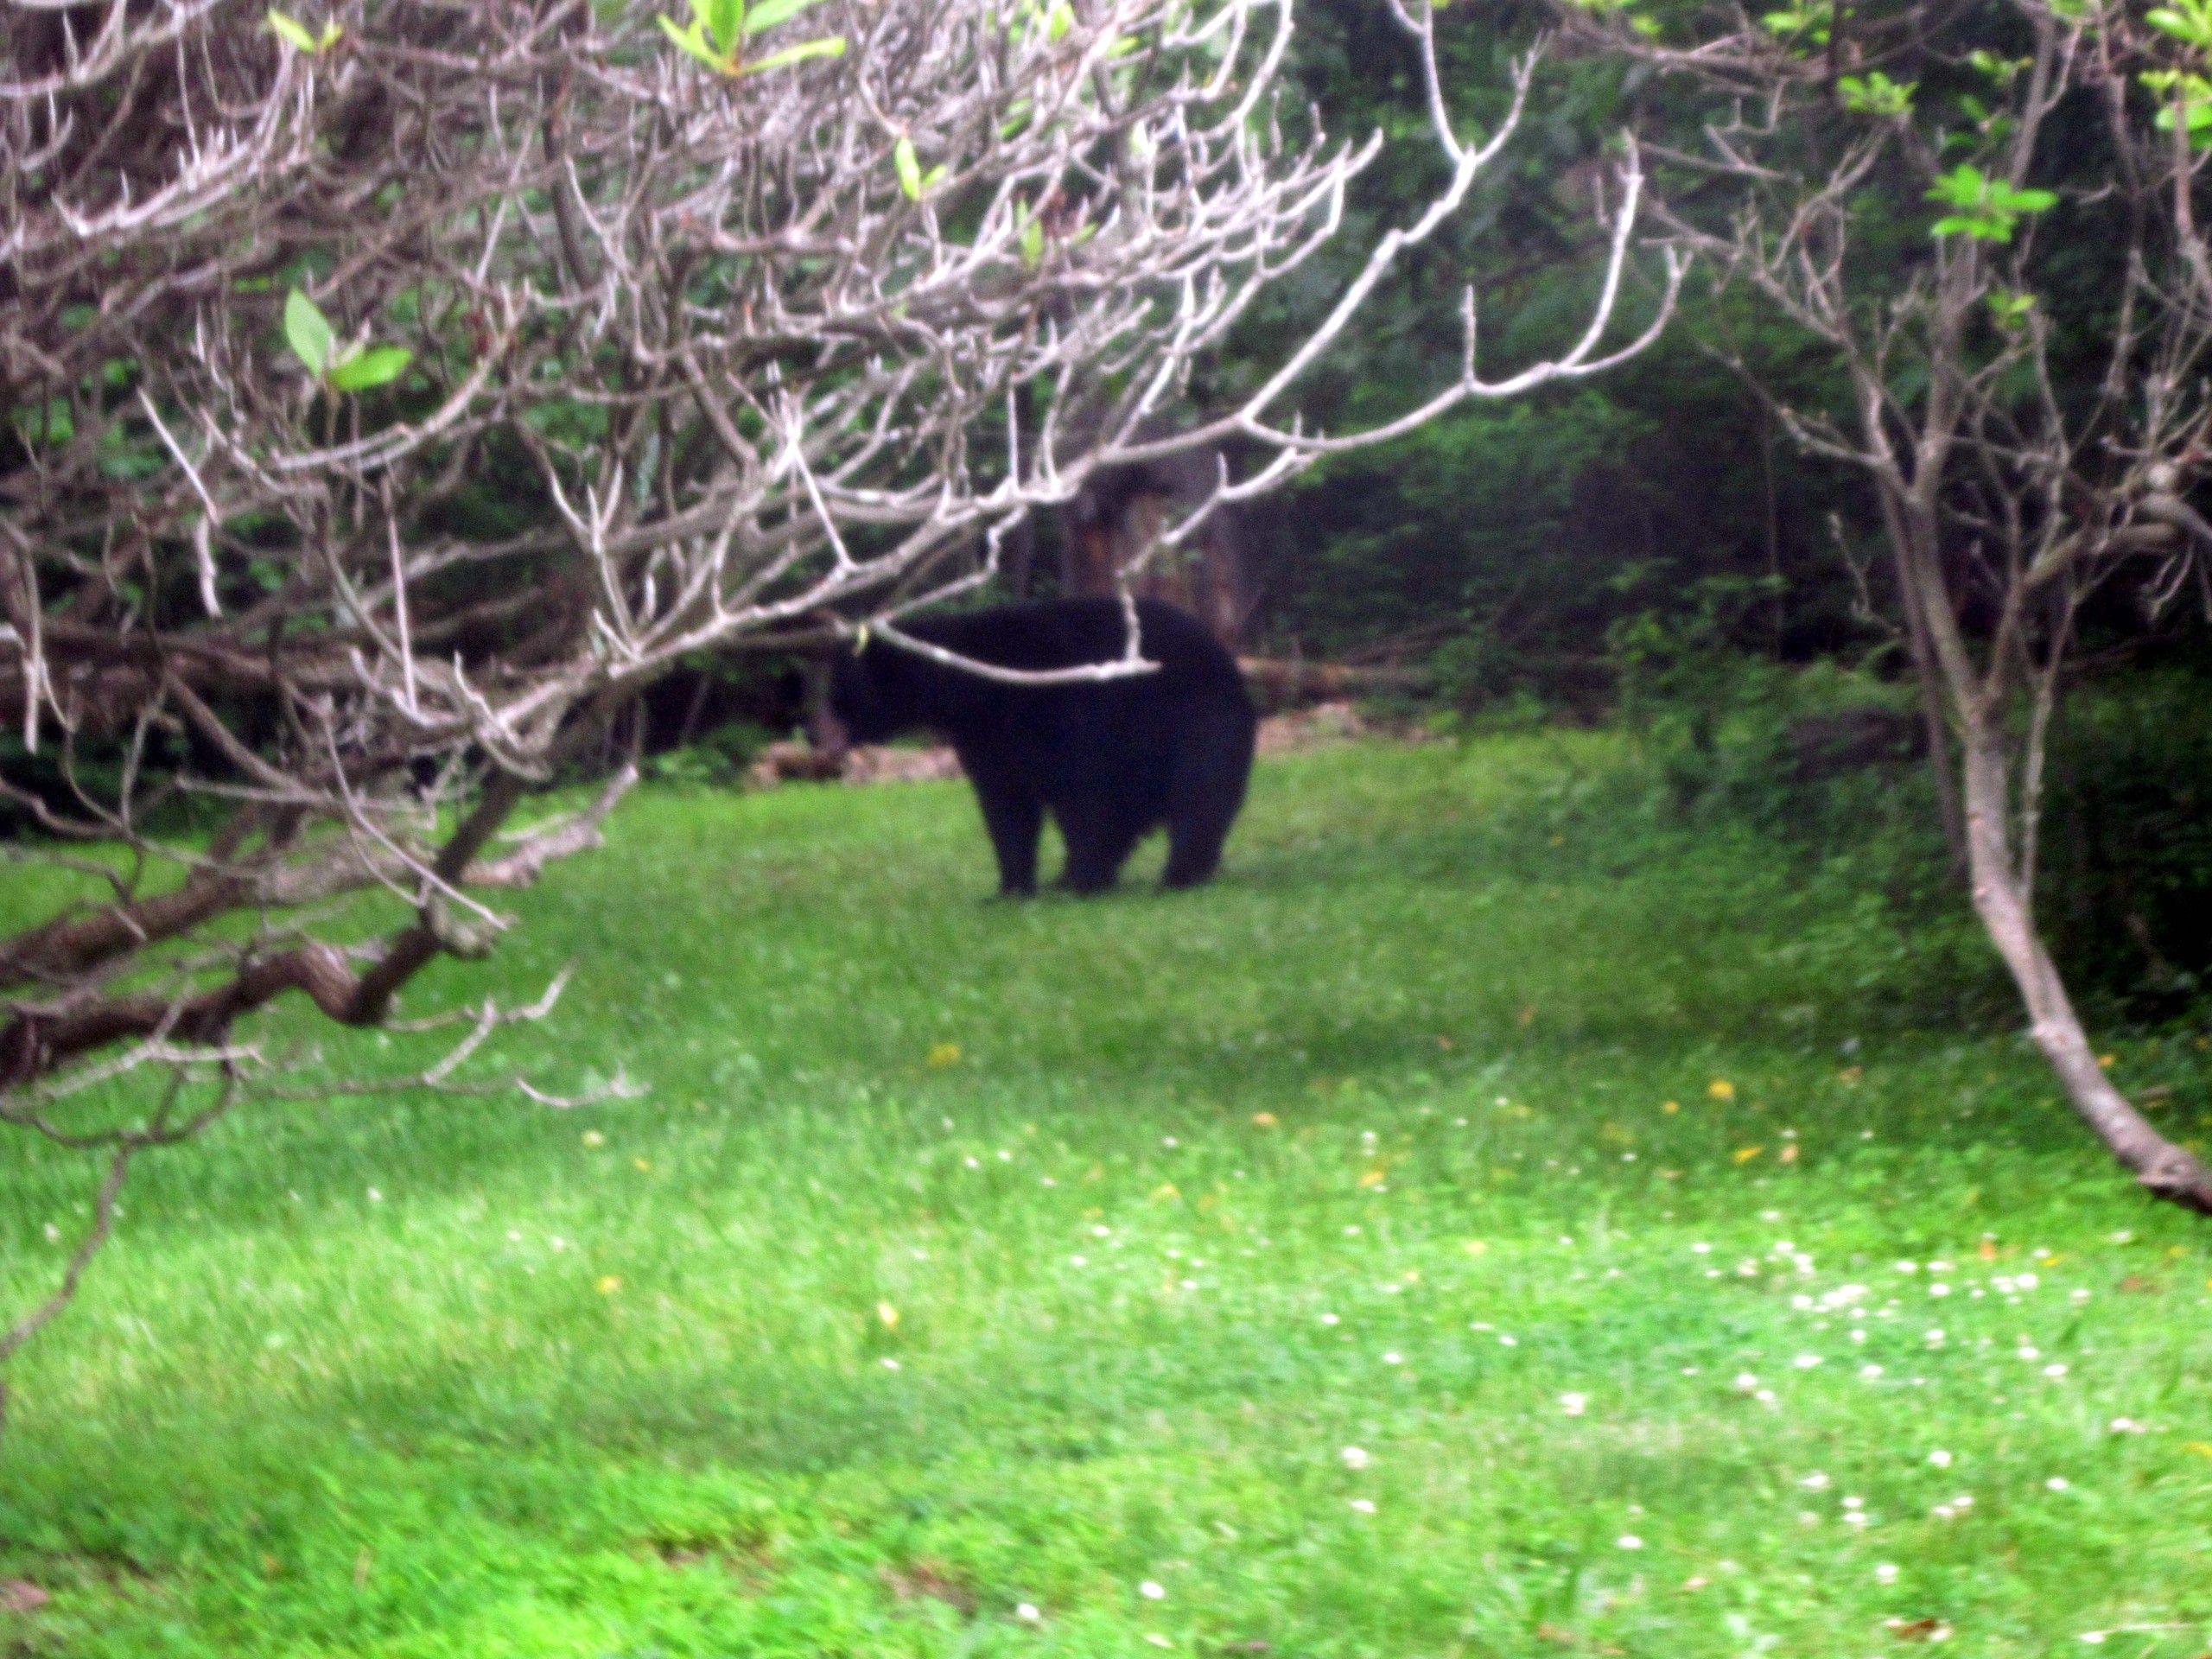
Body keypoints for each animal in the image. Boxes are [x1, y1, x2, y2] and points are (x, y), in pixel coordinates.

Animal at [828, 596, 1257, 895]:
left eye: (842, 695)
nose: (832, 736)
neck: (977, 687)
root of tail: (1229, 663)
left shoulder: (1073, 718)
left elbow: (1087, 797)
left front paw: (1082, 880)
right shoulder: (991, 738)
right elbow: (1007, 804)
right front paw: (1011, 889)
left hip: (1195, 719)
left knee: (1199, 794)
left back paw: (1179, 875)